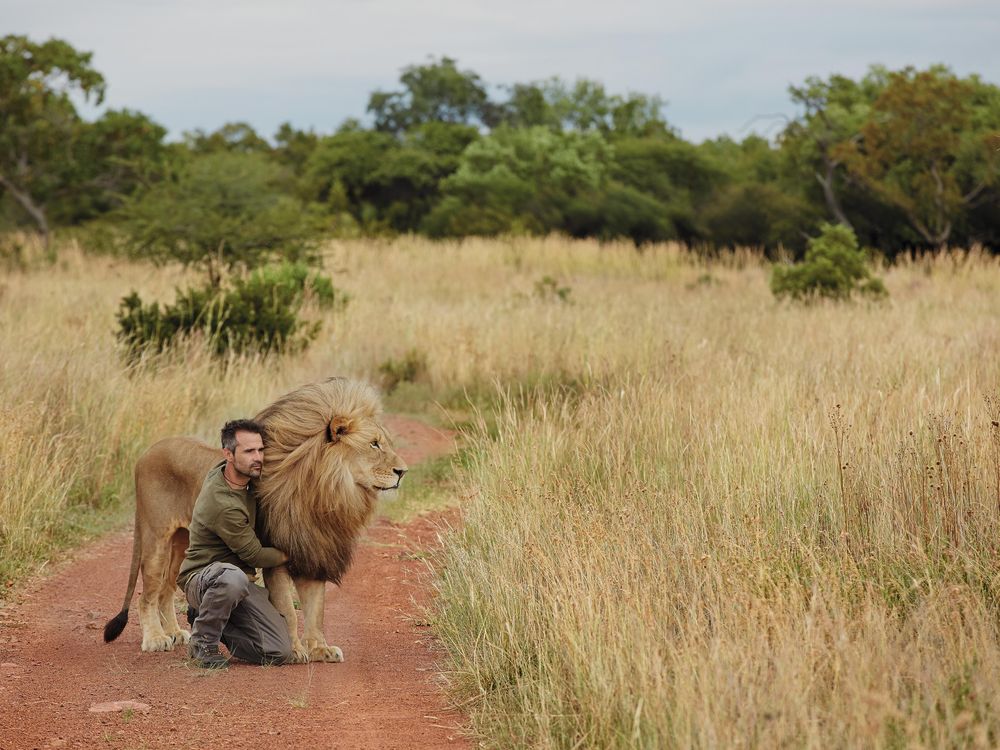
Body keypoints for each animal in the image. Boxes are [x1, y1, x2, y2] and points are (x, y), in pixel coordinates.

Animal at [104, 378, 406, 660]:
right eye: (374, 444)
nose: (402, 471)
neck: (327, 491)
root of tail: (146, 453)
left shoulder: (313, 551)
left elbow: (316, 609)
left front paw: (320, 649)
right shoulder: (280, 556)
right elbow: (288, 610)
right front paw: (296, 650)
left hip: (183, 542)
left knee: (167, 589)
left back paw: (175, 633)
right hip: (155, 538)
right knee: (147, 594)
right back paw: (155, 639)